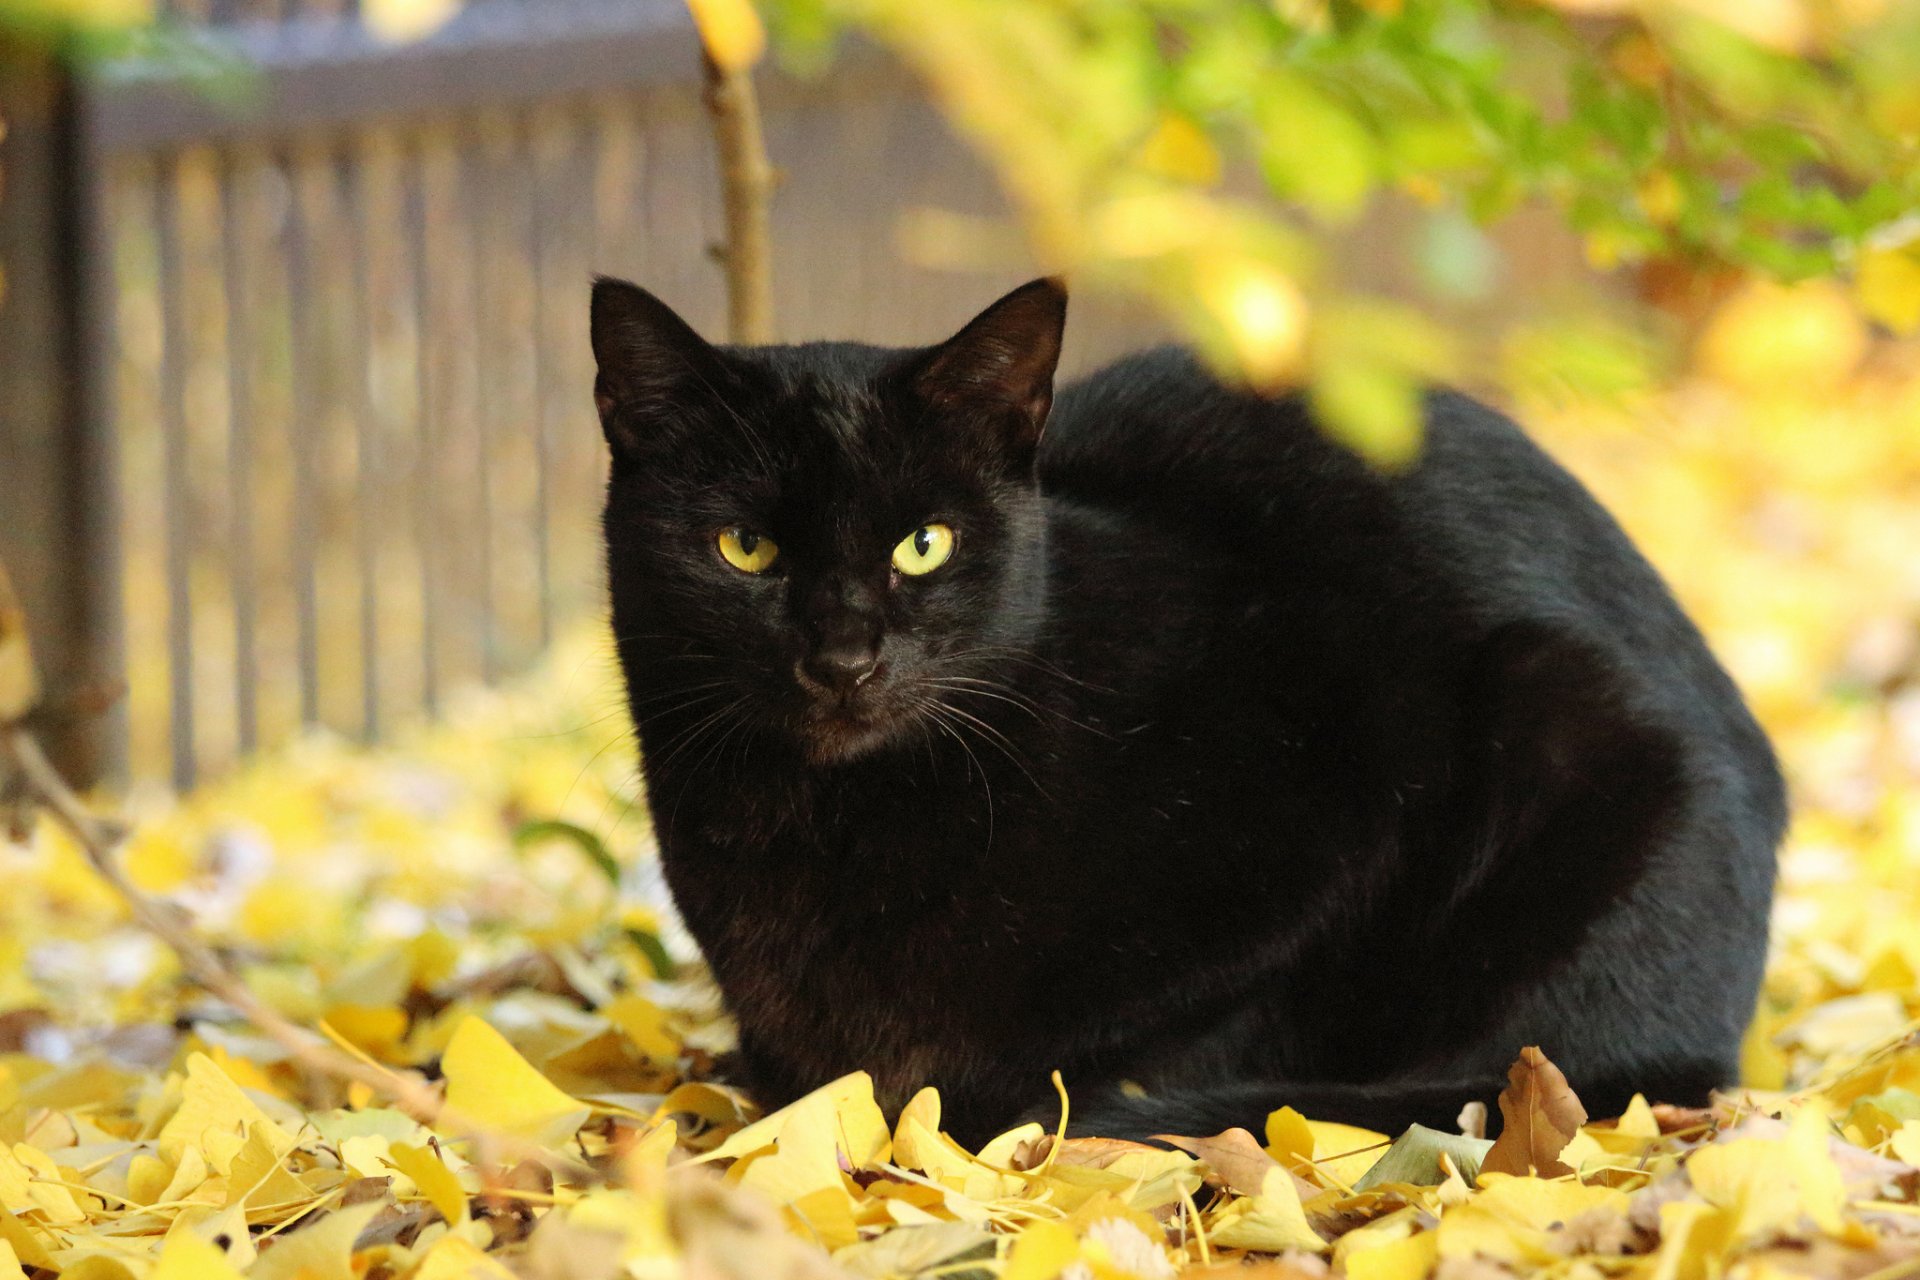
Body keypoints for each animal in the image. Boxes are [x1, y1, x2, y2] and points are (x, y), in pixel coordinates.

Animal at [587, 276, 1781, 1143]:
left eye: (923, 544)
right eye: (745, 547)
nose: (842, 659)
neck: (820, 832)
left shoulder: (1323, 828)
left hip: (1569, 718)